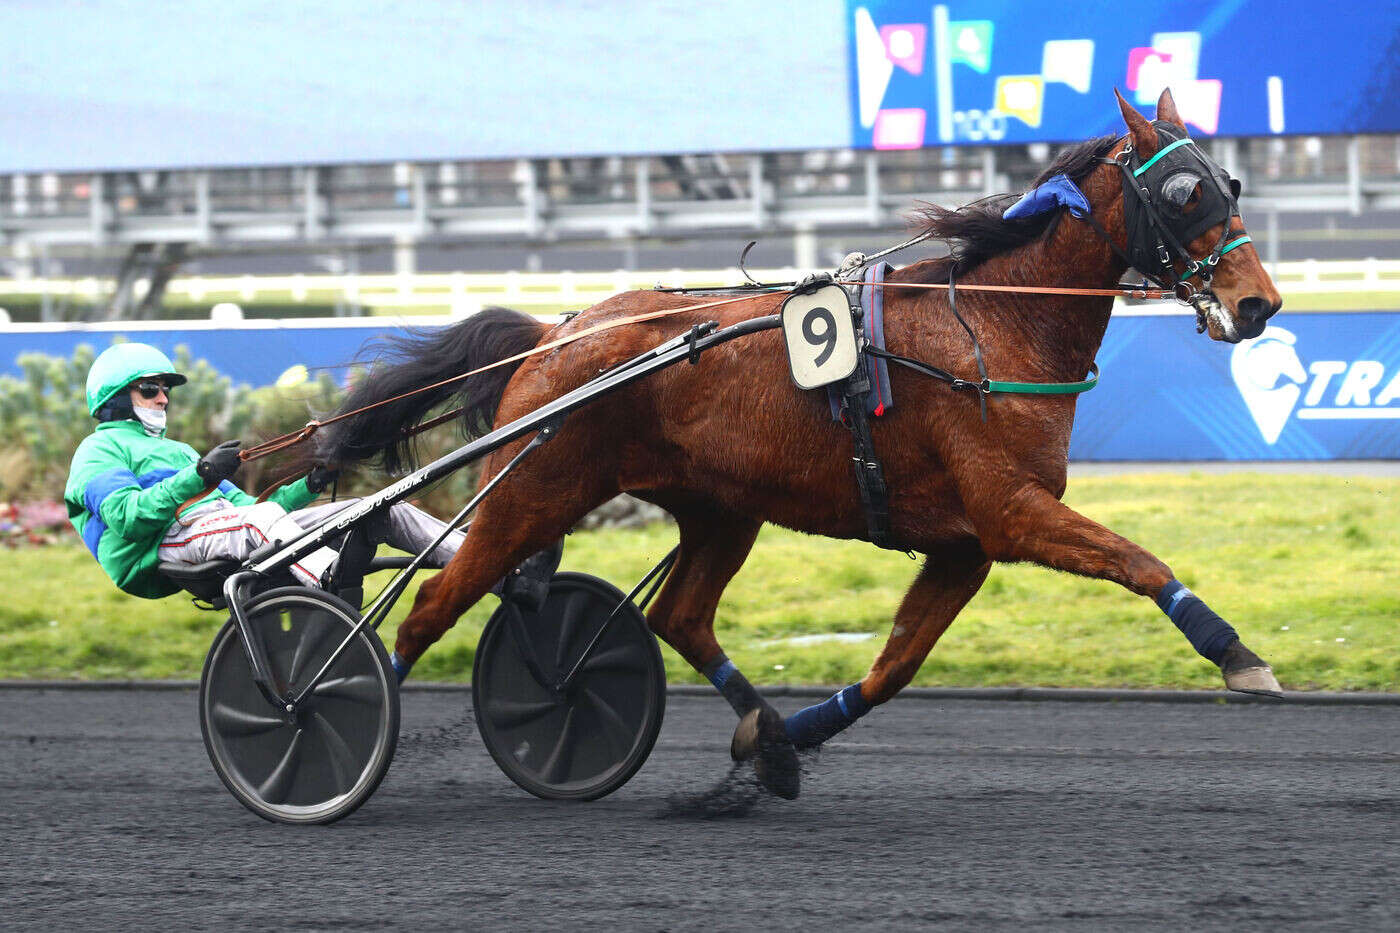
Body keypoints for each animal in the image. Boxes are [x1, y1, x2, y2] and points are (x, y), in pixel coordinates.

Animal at [317, 91, 1282, 795]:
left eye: (1229, 182)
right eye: (1183, 192)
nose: (1259, 303)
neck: (992, 328)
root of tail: (559, 330)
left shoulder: (963, 545)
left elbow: (894, 666)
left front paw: (791, 737)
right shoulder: (1010, 511)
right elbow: (1140, 560)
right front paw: (1239, 656)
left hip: (717, 507)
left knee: (676, 615)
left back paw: (760, 734)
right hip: (535, 488)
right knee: (427, 610)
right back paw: (330, 716)